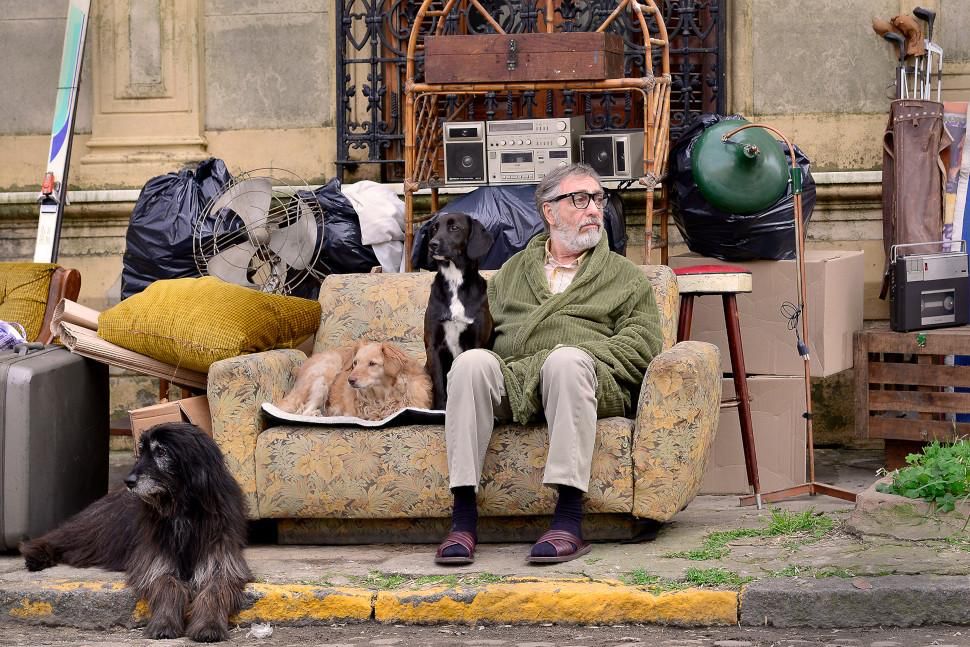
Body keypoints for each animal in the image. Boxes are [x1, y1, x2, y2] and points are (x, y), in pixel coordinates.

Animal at [278, 340, 432, 420]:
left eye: (372, 363)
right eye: (355, 363)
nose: (350, 380)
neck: (381, 397)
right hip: (326, 373)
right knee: (303, 411)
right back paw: (316, 414)